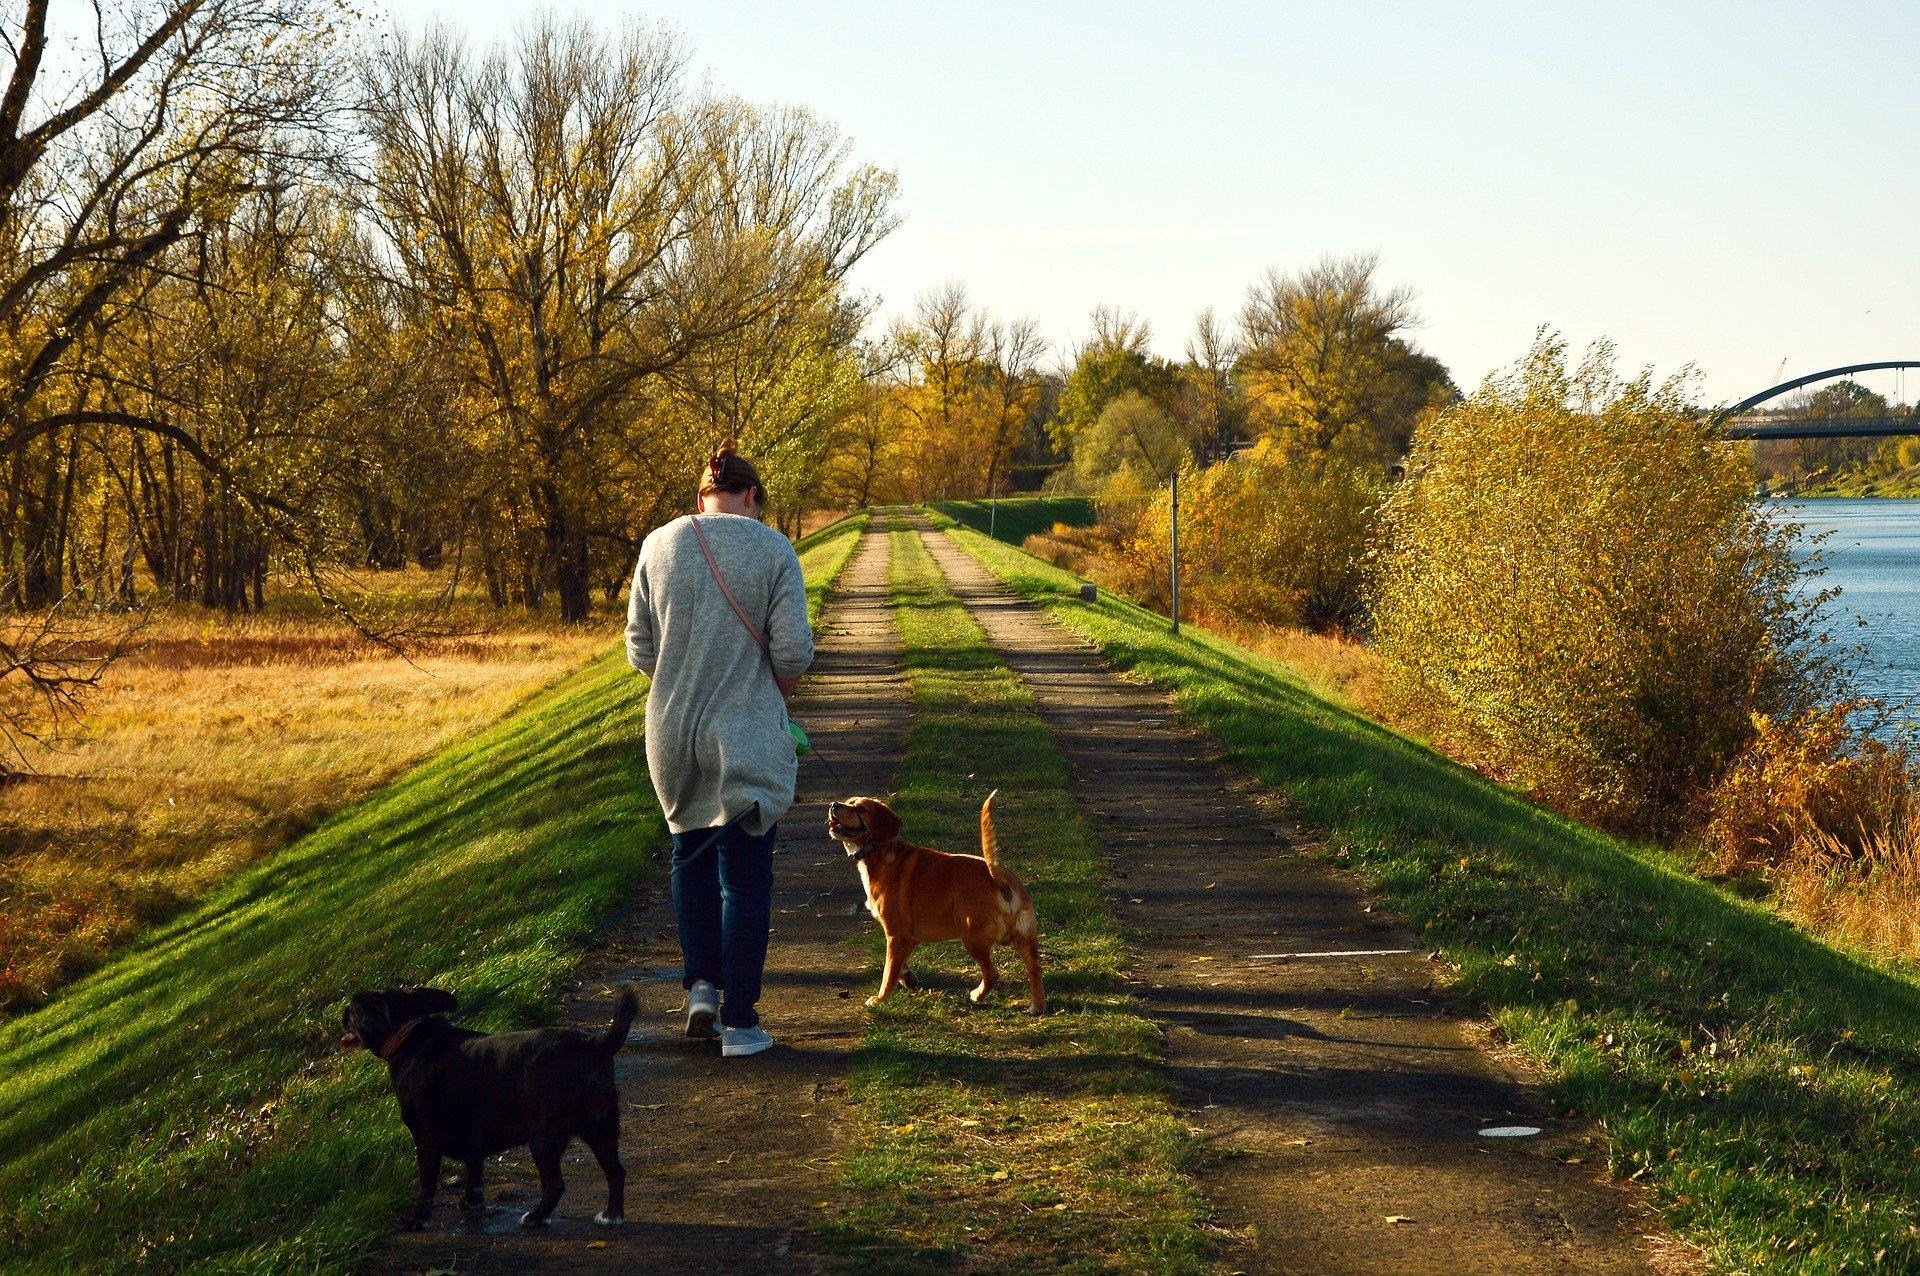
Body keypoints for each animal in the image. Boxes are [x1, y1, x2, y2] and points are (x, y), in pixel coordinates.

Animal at [341, 982, 641, 1228]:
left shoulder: (426, 1140)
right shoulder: (473, 1133)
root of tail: (594, 1044)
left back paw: (536, 1217)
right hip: (600, 1127)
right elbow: (474, 1174)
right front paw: (471, 1204)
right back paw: (612, 1216)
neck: (412, 1035)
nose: (344, 1009)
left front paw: (418, 1221)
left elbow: (426, 1187)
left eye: (356, 1009)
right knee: (615, 1171)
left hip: (544, 1138)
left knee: (555, 1185)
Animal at [821, 786, 1044, 1013]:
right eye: (849, 802)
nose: (834, 805)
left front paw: (881, 998)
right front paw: (908, 979)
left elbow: (888, 971)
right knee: (1035, 969)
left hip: (972, 938)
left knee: (992, 974)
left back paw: (977, 995)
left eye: (862, 809)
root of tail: (997, 876)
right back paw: (1037, 1006)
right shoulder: (908, 937)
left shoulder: (895, 935)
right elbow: (900, 965)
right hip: (1024, 939)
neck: (880, 852)